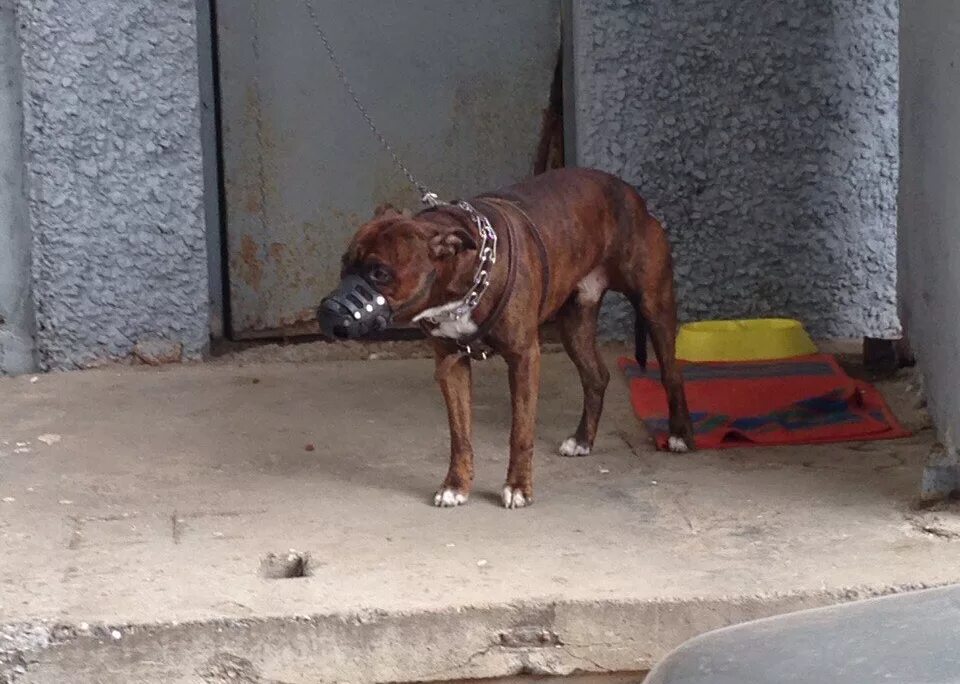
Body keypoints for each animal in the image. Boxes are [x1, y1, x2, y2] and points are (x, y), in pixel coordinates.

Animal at [326, 167, 692, 508]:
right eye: (344, 264)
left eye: (380, 273)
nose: (329, 309)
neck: (465, 285)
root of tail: (631, 194)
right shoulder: (451, 363)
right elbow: (460, 435)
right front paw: (456, 486)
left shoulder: (523, 357)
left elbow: (521, 431)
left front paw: (518, 487)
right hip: (575, 324)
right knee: (596, 376)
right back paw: (582, 440)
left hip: (654, 304)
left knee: (671, 373)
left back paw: (679, 435)